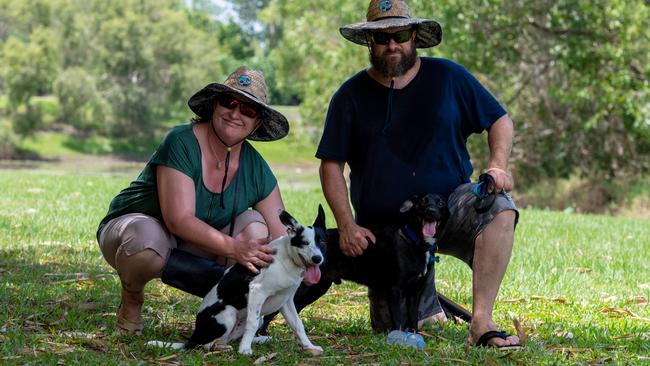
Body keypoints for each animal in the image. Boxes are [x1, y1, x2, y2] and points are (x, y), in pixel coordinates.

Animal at [149, 209, 326, 354]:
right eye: (304, 243)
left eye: (323, 243)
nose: (317, 259)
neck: (288, 258)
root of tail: (194, 336)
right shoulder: (257, 291)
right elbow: (252, 323)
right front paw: (244, 350)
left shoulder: (286, 300)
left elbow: (298, 325)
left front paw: (309, 346)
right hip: (227, 313)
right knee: (204, 345)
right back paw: (221, 347)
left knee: (227, 339)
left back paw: (257, 340)